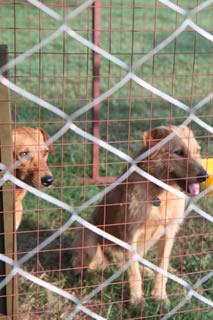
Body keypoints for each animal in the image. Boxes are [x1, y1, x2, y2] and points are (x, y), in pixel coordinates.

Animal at [72, 126, 208, 304]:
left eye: (197, 151)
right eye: (178, 152)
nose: (205, 176)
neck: (160, 191)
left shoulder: (168, 232)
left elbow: (162, 267)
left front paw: (160, 296)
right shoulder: (131, 233)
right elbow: (134, 273)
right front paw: (137, 299)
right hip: (88, 233)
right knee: (93, 267)